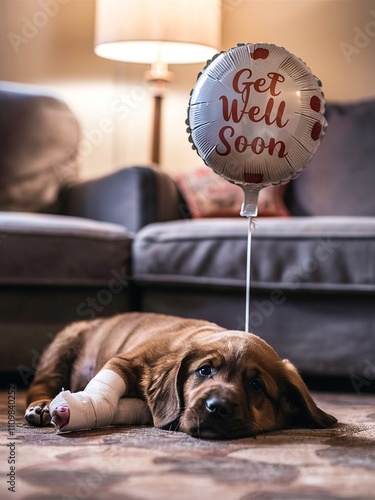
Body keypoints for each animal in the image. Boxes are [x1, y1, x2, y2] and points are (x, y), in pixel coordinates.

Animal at [26, 312, 338, 438]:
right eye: (204, 370)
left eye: (255, 385)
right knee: (39, 385)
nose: (217, 407)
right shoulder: (122, 361)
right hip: (62, 347)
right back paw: (41, 407)